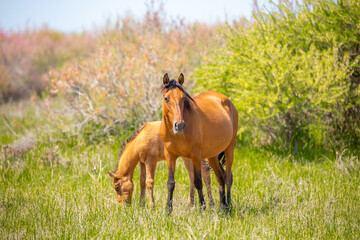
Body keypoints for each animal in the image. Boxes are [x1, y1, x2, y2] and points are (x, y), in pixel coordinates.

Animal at [160, 73, 239, 212]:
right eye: (166, 98)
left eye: (183, 98)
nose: (179, 125)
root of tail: (227, 100)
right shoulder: (170, 155)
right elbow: (170, 183)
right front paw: (168, 211)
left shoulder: (195, 156)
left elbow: (198, 181)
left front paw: (202, 208)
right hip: (212, 155)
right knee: (220, 176)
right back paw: (222, 207)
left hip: (229, 148)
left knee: (229, 177)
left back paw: (228, 207)